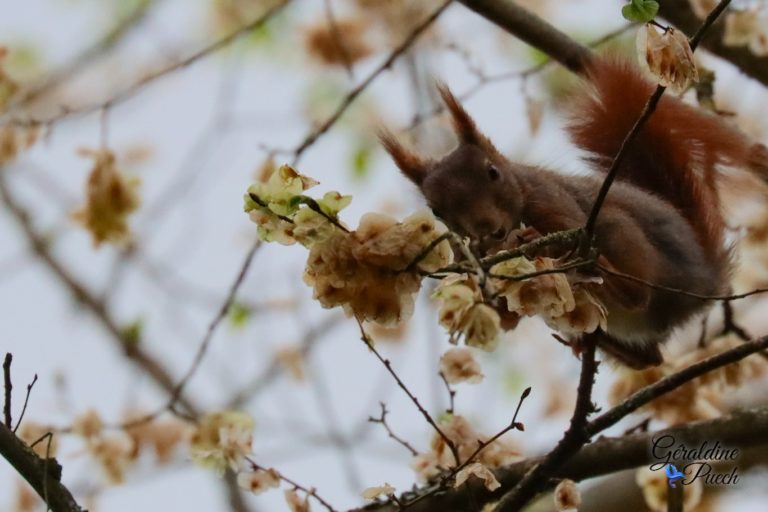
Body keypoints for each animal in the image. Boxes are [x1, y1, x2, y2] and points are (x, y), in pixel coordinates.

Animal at [380, 57, 768, 368]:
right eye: (436, 211)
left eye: (492, 172)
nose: (488, 230)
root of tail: (704, 279)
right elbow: (506, 319)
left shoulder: (552, 201)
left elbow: (563, 227)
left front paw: (532, 239)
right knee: (649, 359)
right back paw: (586, 342)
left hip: (619, 232)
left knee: (636, 296)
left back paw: (602, 273)